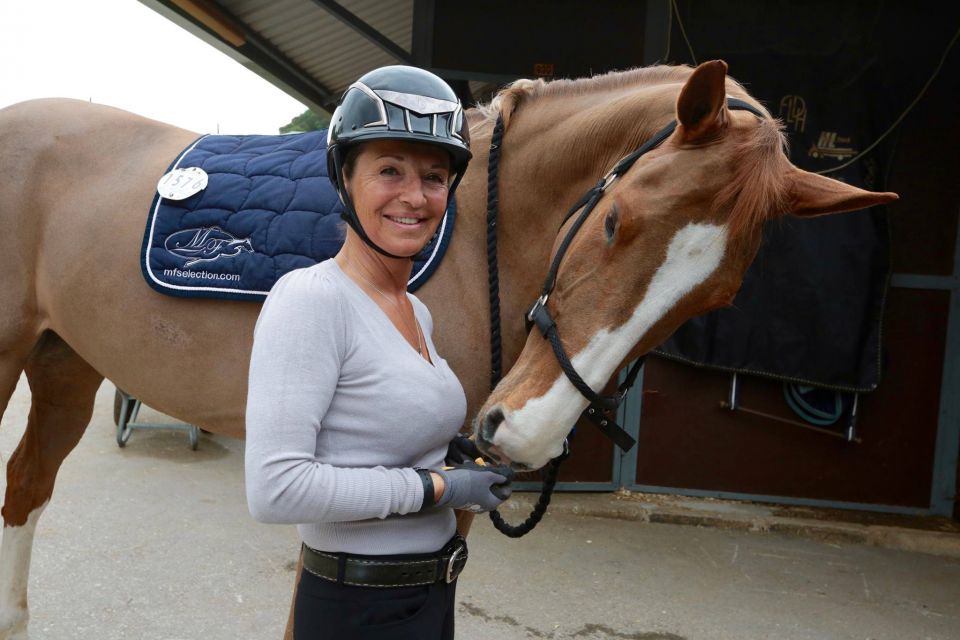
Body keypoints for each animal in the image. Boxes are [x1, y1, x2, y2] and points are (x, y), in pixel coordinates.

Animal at [0, 58, 892, 636]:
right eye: (614, 221)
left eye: (717, 296)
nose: (524, 432)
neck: (470, 239)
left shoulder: (454, 486)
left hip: (66, 363)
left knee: (26, 489)